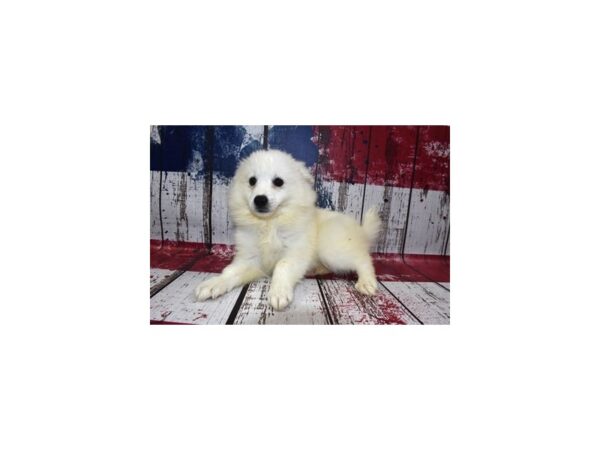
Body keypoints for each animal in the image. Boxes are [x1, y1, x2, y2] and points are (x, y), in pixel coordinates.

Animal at [195, 148, 382, 310]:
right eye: (252, 181)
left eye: (278, 182)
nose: (260, 199)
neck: (269, 223)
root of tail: (362, 231)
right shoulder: (249, 259)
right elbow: (230, 272)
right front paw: (214, 284)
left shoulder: (294, 252)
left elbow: (282, 266)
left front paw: (278, 293)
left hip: (333, 249)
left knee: (363, 259)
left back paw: (366, 282)